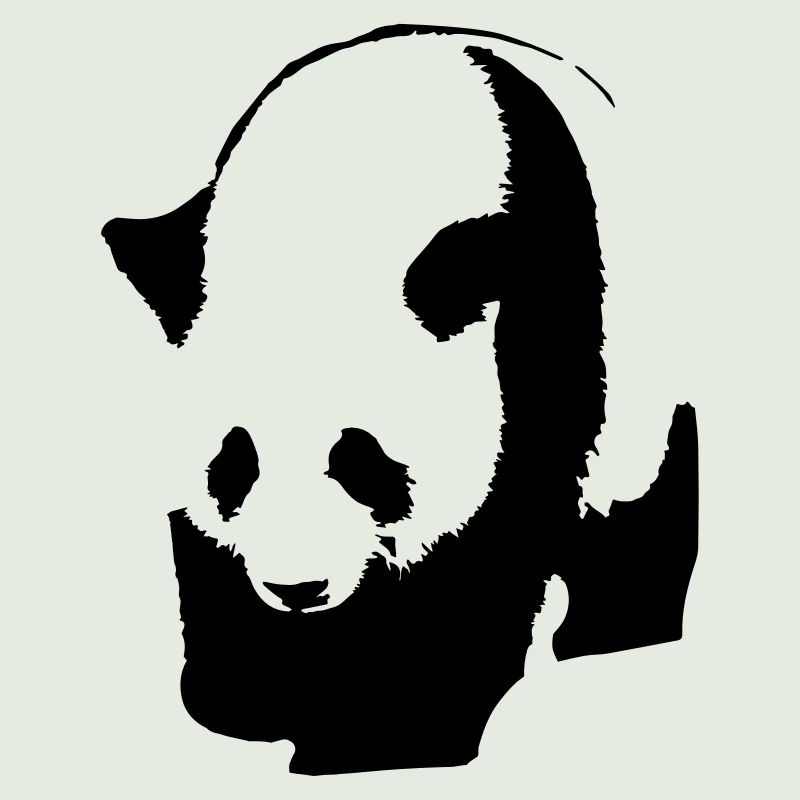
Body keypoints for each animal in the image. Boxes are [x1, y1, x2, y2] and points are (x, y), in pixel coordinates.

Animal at [102, 24, 698, 775]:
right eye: (234, 462)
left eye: (361, 458)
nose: (298, 590)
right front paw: (246, 697)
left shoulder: (536, 328)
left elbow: (487, 547)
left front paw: (390, 738)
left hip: (644, 386)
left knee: (640, 511)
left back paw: (610, 634)